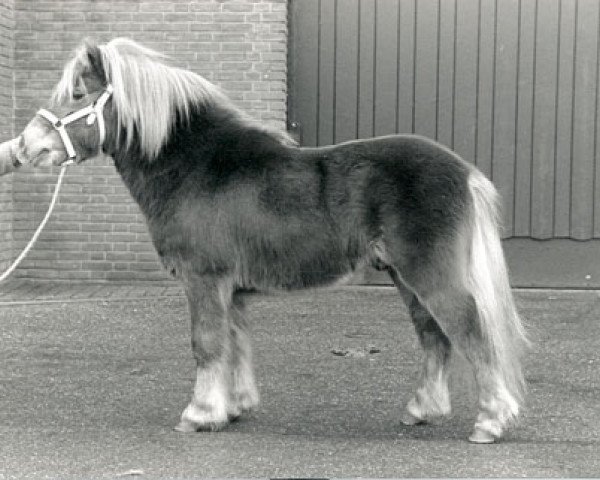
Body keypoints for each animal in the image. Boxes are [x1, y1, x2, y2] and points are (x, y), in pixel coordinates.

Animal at [16, 37, 528, 442]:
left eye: (77, 93)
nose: (26, 147)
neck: (197, 167)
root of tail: (465, 172)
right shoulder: (232, 289)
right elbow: (234, 343)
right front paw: (232, 408)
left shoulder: (204, 280)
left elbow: (206, 344)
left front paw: (199, 415)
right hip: (407, 279)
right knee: (434, 337)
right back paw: (422, 410)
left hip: (431, 276)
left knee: (471, 333)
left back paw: (490, 422)